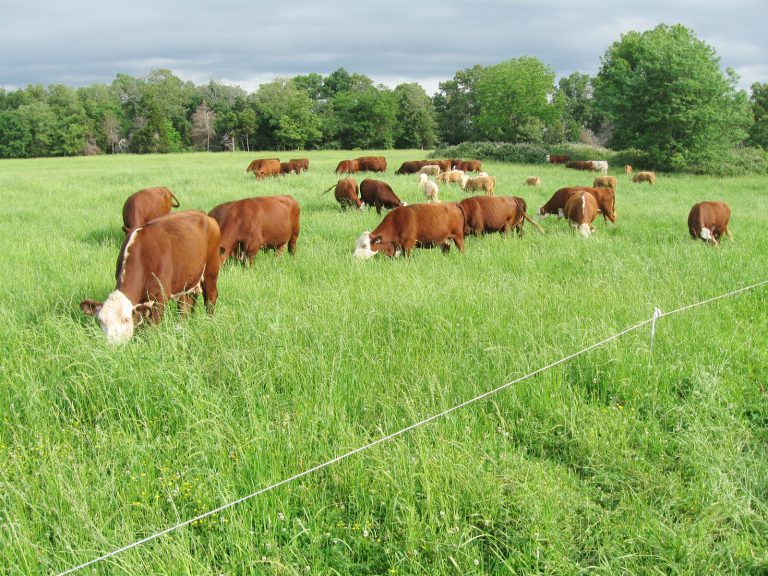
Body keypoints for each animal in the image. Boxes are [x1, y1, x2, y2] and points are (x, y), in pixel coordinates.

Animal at [80, 212, 222, 346]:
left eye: (126, 319)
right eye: (101, 320)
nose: (112, 345)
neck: (143, 257)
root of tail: (206, 217)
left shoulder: (160, 298)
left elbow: (153, 326)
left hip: (211, 270)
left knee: (210, 297)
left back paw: (209, 322)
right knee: (185, 305)